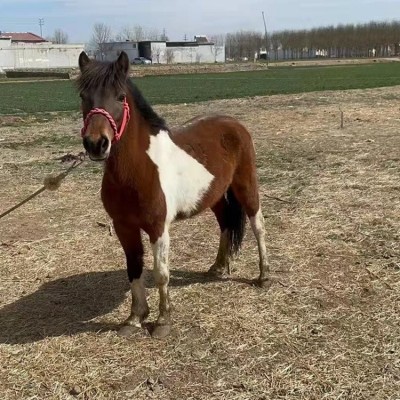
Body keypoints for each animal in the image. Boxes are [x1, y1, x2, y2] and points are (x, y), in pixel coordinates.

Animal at [77, 50, 270, 338]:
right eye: (82, 96)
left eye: (120, 96)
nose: (96, 144)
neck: (137, 171)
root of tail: (233, 123)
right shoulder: (124, 227)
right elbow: (134, 269)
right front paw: (134, 318)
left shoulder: (158, 227)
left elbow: (161, 272)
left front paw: (162, 320)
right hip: (213, 196)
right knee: (225, 223)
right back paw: (217, 267)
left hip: (246, 185)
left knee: (258, 225)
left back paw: (264, 275)